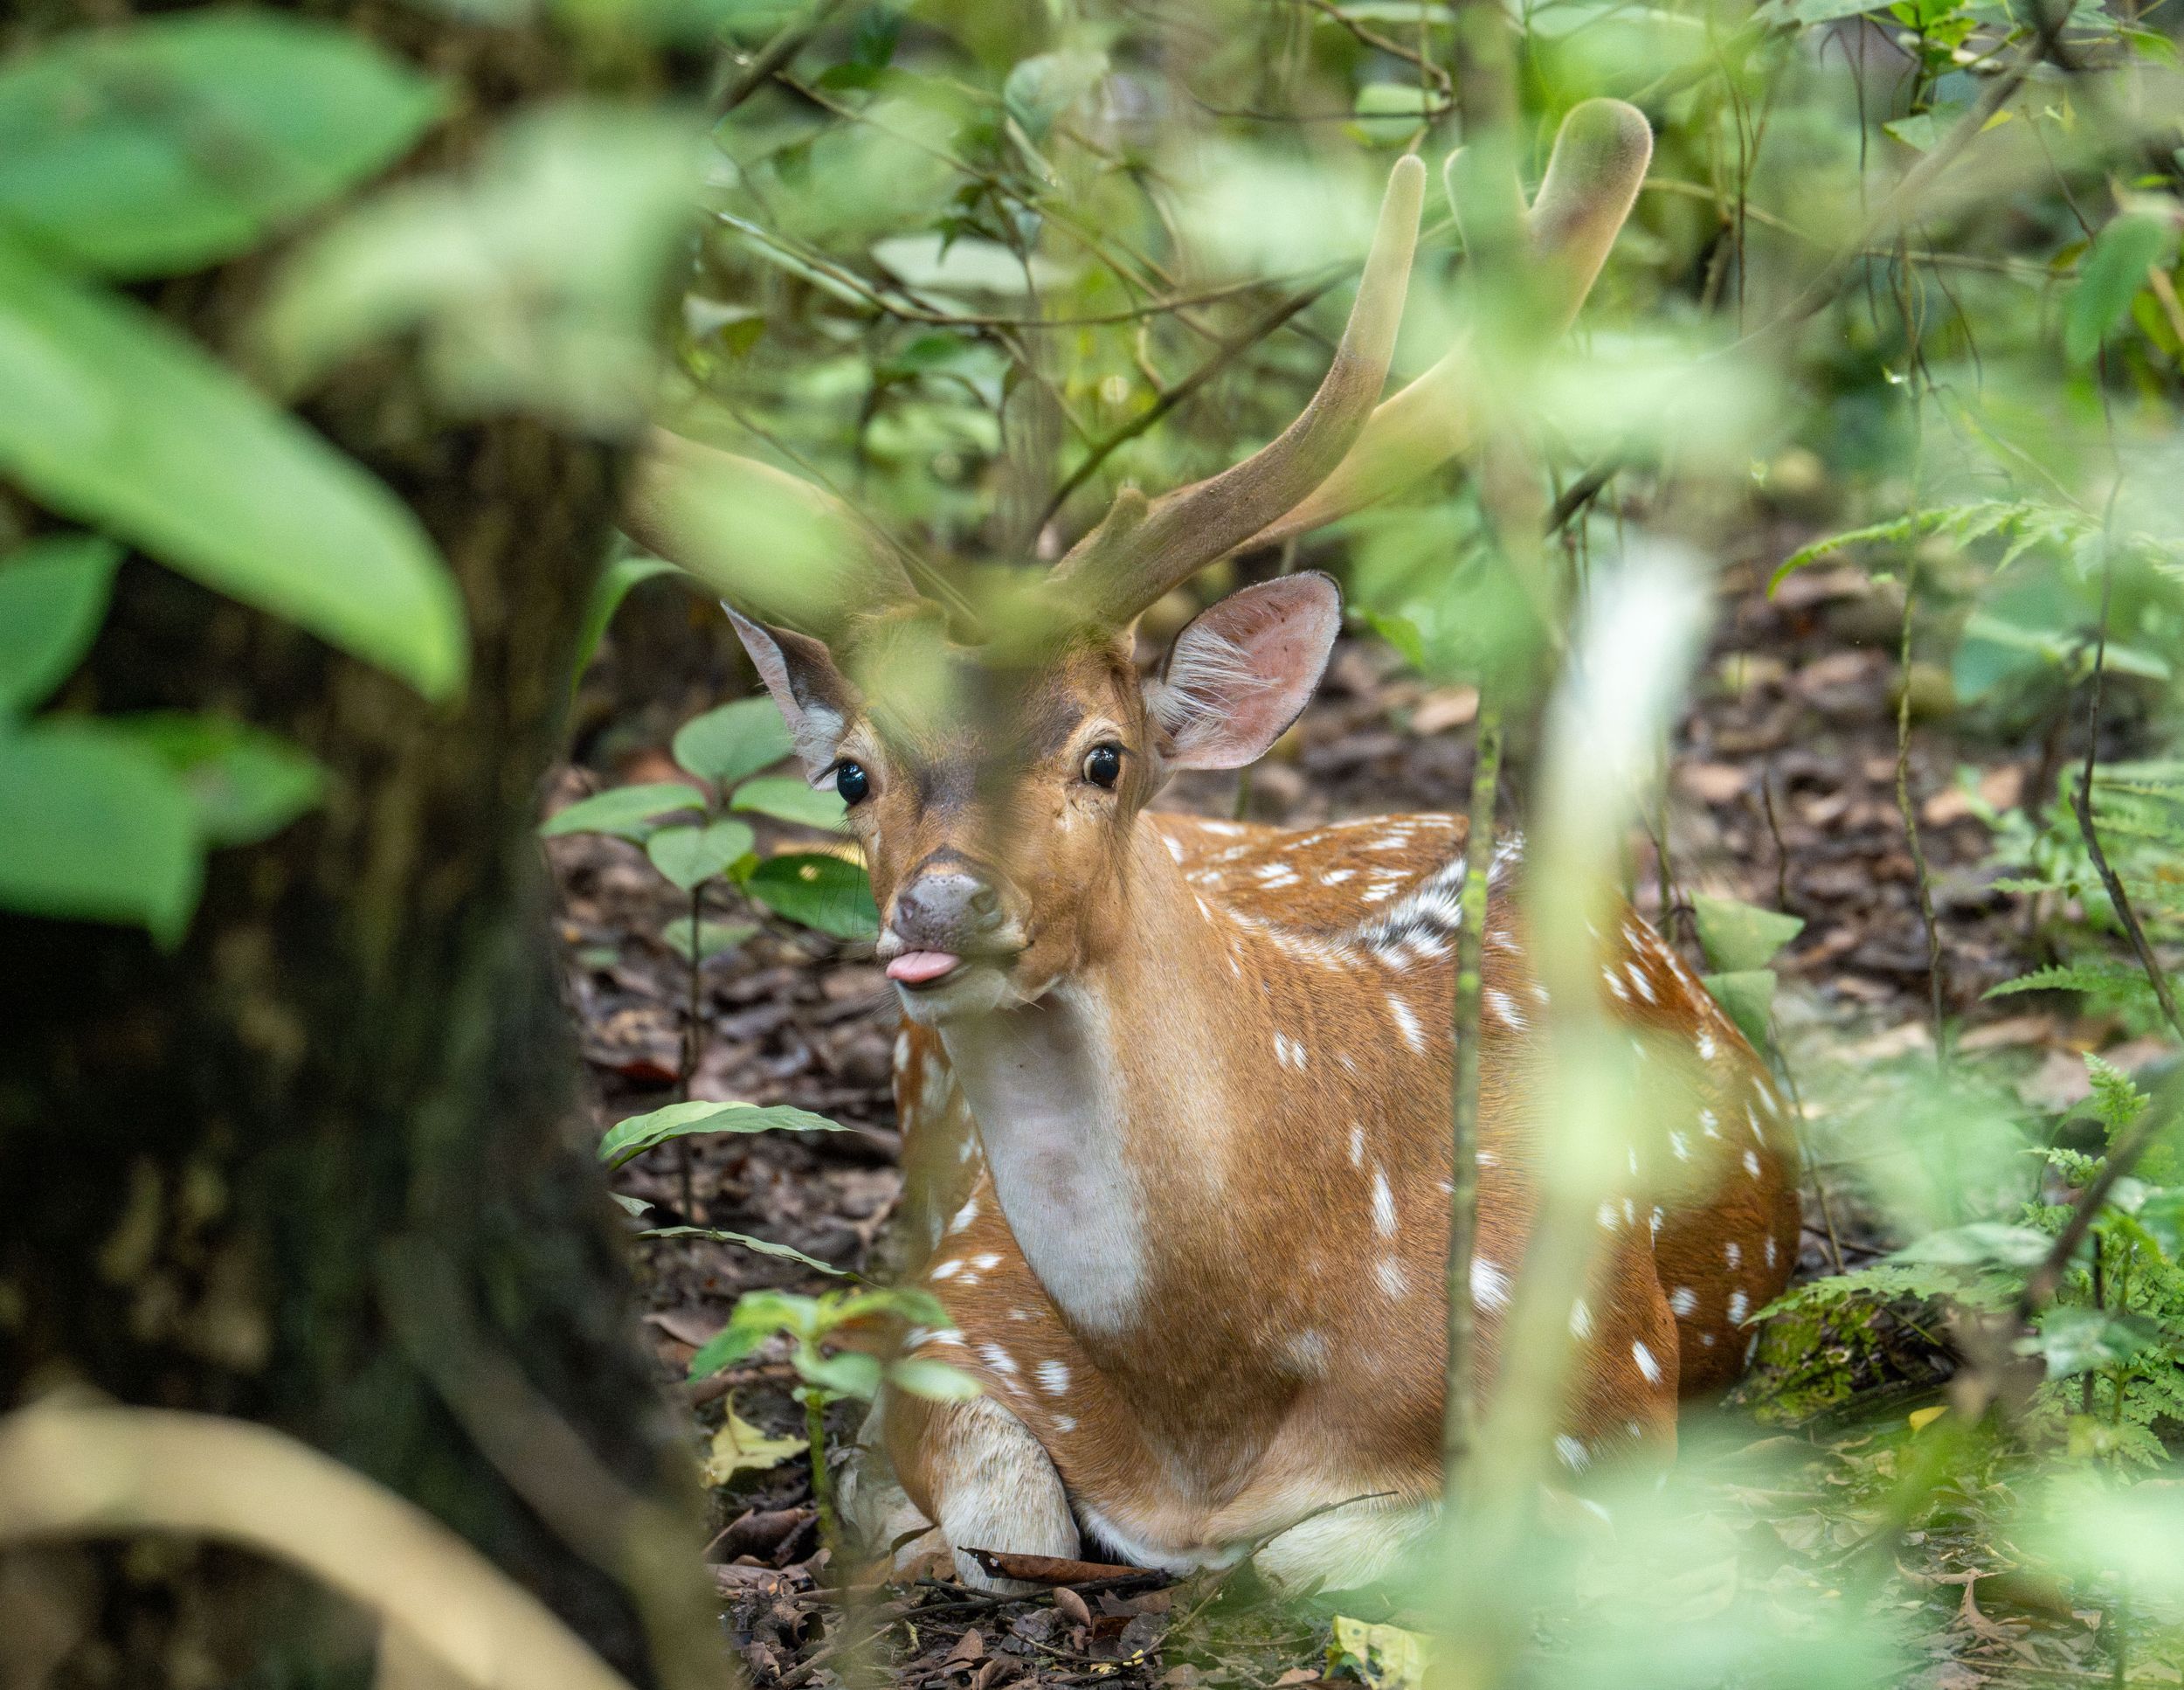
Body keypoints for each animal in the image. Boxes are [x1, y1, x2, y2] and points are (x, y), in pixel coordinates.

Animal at [626, 100, 1803, 1595]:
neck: (1210, 1403)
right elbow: (999, 1517)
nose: (941, 907)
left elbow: (1315, 1555)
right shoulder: (954, 1312)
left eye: (1104, 755)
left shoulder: (1605, 1401)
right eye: (852, 773)